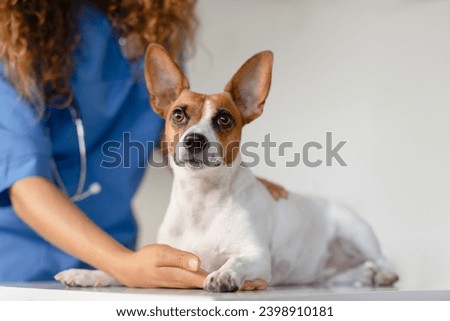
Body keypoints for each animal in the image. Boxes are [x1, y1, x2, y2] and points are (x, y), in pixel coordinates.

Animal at [56, 43, 398, 292]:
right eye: (178, 115)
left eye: (223, 119)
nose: (195, 140)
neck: (202, 200)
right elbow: (119, 271)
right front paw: (88, 274)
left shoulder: (256, 257)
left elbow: (235, 262)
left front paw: (224, 274)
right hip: (326, 272)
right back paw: (365, 275)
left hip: (356, 231)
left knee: (383, 260)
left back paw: (382, 275)